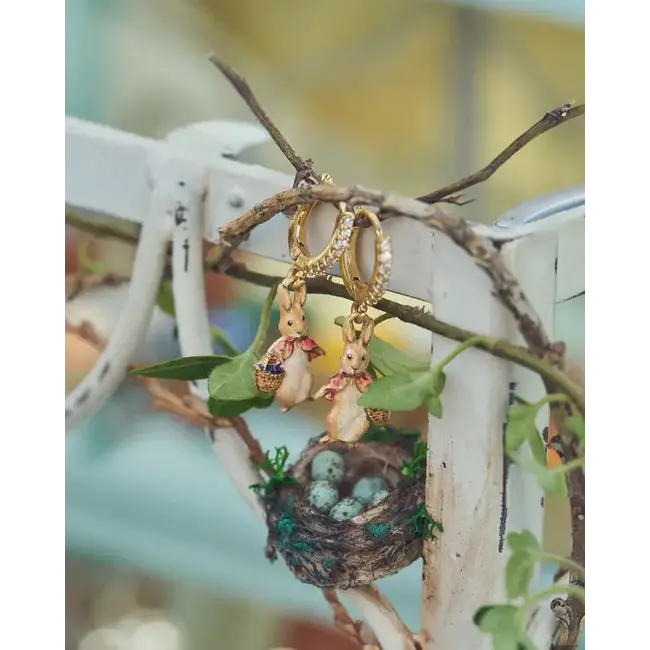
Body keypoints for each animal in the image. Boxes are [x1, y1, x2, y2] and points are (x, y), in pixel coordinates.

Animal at [267, 283, 325, 413]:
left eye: (303, 317)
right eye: (289, 323)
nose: (300, 332)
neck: (297, 342)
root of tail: (294, 402)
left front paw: (322, 352)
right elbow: (274, 352)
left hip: (309, 381)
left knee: (310, 398)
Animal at [313, 316, 375, 444]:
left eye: (364, 358)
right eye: (349, 356)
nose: (355, 368)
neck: (352, 379)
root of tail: (343, 437)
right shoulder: (336, 381)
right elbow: (326, 388)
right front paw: (313, 396)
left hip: (363, 424)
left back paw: (352, 443)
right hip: (331, 419)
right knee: (331, 436)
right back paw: (329, 440)